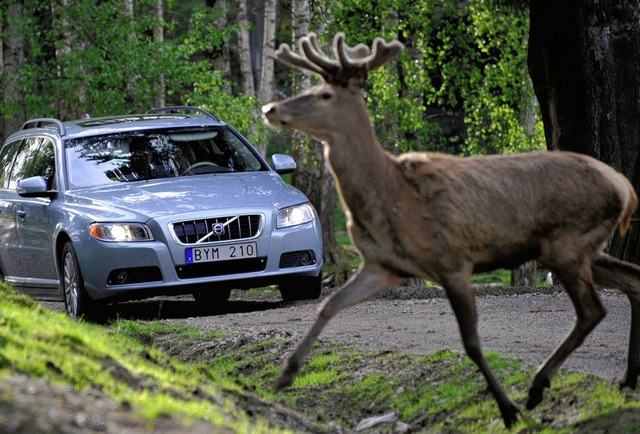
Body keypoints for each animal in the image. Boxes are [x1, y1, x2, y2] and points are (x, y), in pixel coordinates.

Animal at [260, 32, 640, 428]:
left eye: (324, 94)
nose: (270, 109)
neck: (392, 196)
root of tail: (624, 187)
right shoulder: (383, 265)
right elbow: (328, 306)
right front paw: (286, 374)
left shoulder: (453, 259)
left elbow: (470, 341)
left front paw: (507, 409)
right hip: (579, 248)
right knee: (633, 279)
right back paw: (626, 377)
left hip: (568, 243)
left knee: (592, 310)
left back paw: (538, 388)